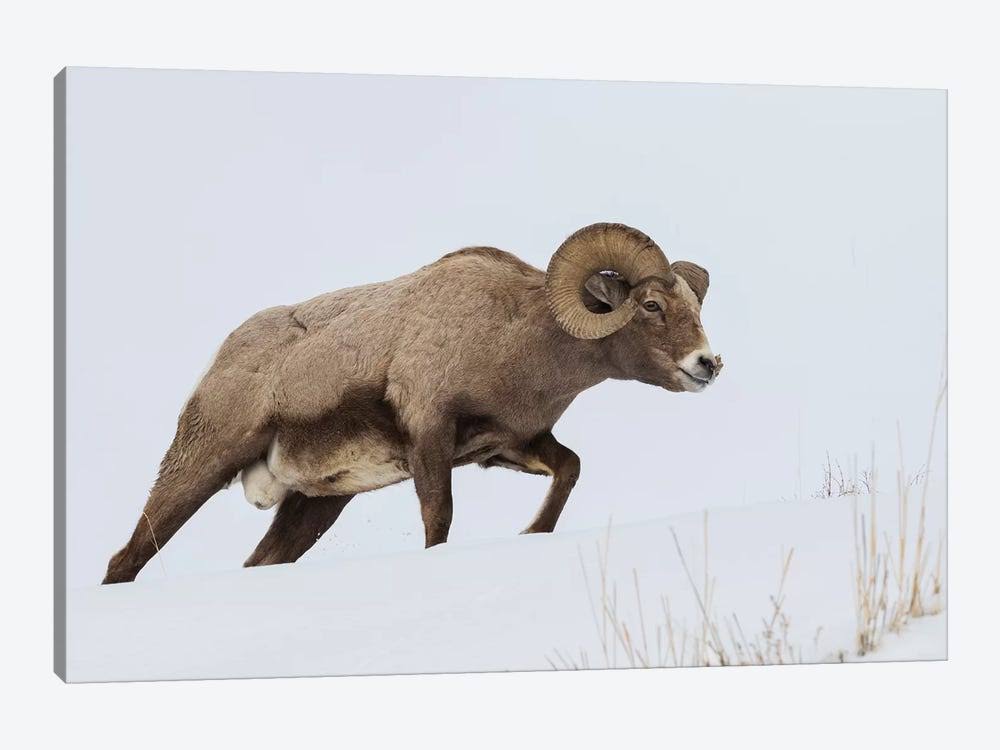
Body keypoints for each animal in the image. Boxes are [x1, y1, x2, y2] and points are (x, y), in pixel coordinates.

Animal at [103, 223, 721, 583]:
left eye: (692, 305)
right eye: (650, 305)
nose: (707, 364)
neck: (516, 336)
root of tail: (222, 358)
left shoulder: (510, 445)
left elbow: (570, 468)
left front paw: (532, 534)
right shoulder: (431, 437)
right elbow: (438, 519)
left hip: (316, 504)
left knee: (260, 564)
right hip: (200, 468)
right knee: (126, 560)